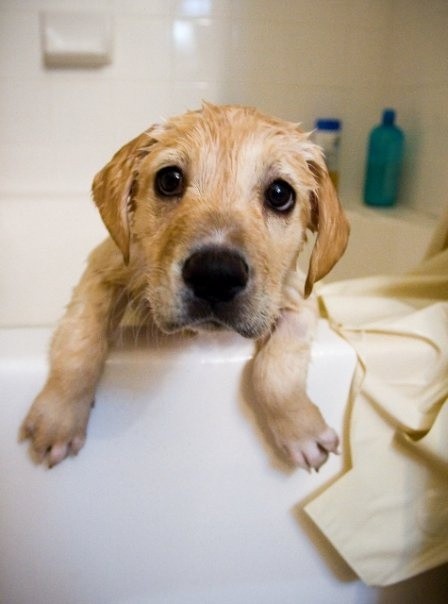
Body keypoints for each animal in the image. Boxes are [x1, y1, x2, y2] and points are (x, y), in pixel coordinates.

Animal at [20, 102, 350, 472]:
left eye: (280, 194)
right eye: (169, 180)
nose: (216, 276)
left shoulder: (298, 297)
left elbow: (276, 370)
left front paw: (302, 430)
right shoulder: (104, 269)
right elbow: (81, 341)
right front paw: (59, 416)